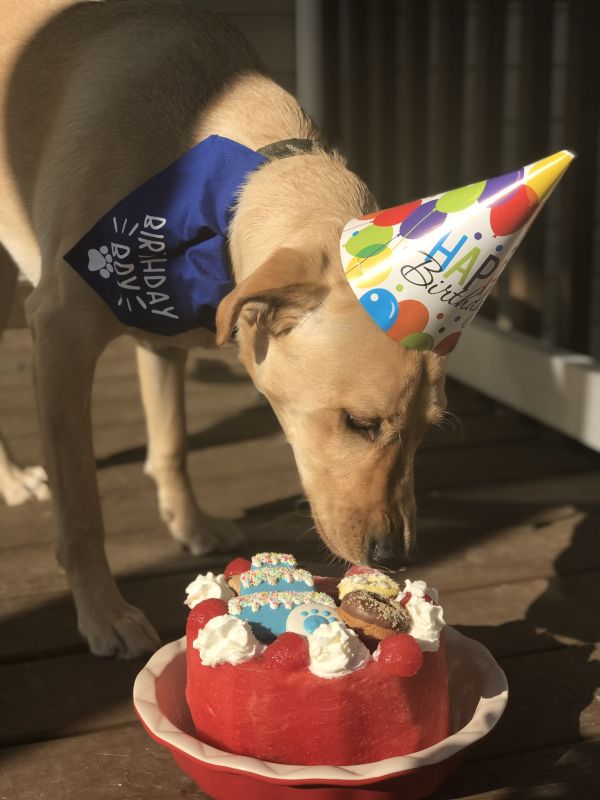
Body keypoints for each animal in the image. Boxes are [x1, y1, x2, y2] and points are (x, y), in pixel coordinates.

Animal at [0, 0, 448, 656]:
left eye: (427, 432)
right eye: (360, 423)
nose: (394, 557)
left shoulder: (164, 335)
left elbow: (171, 441)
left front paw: (187, 521)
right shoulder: (60, 335)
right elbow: (80, 504)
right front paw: (103, 611)